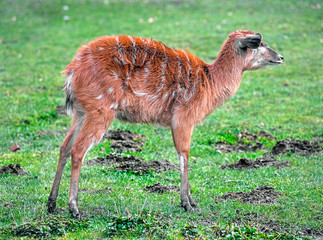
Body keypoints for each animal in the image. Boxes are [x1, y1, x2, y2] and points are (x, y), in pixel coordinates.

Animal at [47, 29, 284, 218]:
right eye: (260, 44)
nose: (281, 57)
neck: (210, 81)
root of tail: (72, 71)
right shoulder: (183, 118)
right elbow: (184, 155)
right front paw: (187, 203)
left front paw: (192, 201)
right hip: (100, 111)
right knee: (78, 150)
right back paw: (74, 208)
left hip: (81, 113)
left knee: (64, 147)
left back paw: (51, 203)